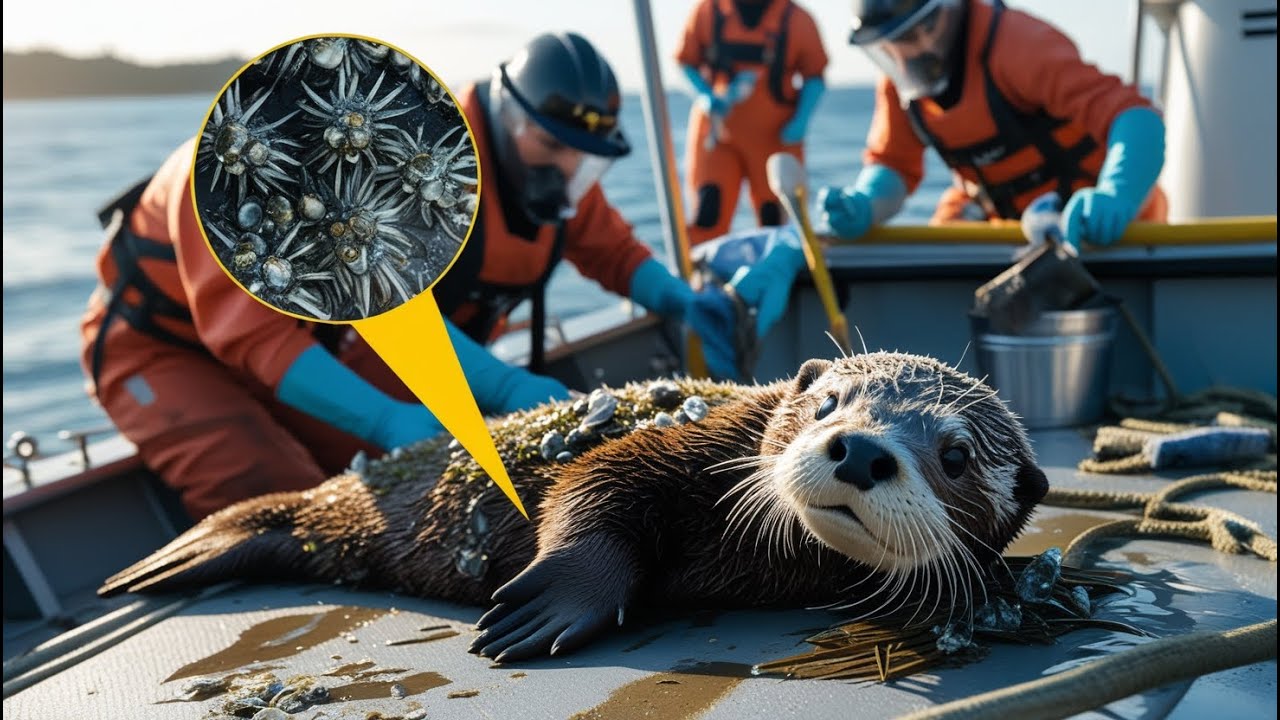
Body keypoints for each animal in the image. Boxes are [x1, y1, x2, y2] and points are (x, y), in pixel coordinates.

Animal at [98, 352, 1048, 662]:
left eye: (956, 456)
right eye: (827, 404)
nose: (859, 449)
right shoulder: (683, 449)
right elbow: (591, 487)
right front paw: (548, 608)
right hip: (335, 510)